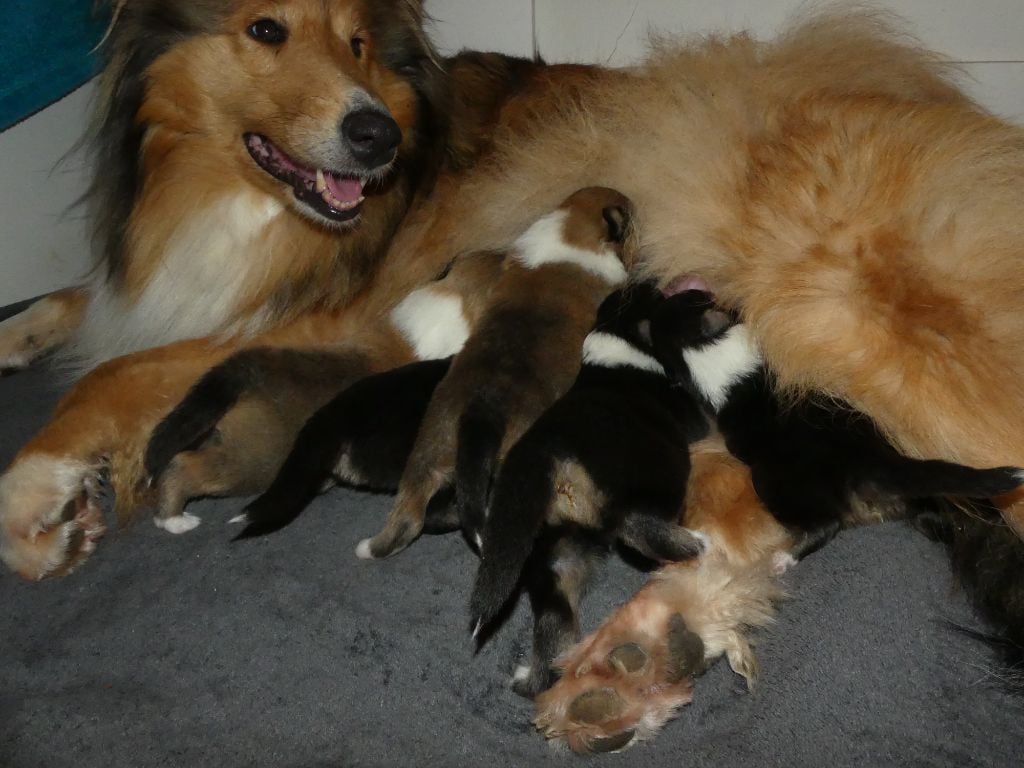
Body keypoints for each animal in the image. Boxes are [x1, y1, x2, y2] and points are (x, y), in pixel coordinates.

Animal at [651, 290, 1019, 557]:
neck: (709, 347)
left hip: (776, 483)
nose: (663, 297)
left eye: (675, 303)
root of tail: (875, 460)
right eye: (694, 295)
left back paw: (784, 558)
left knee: (826, 524)